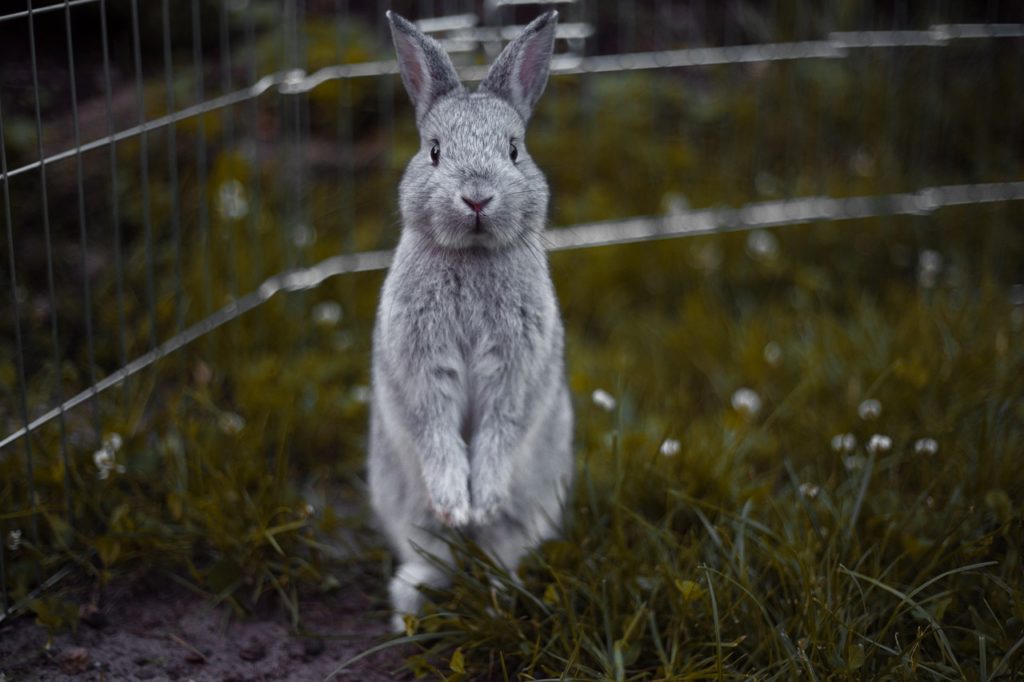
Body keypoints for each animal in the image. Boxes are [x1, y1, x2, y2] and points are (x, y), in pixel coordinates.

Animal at [370, 9, 577, 626]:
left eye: (513, 150)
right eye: (435, 151)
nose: (478, 199)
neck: (472, 255)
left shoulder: (514, 370)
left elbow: (500, 427)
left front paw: (479, 502)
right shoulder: (422, 367)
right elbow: (436, 427)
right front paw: (456, 504)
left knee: (500, 548)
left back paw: (498, 597)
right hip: (402, 503)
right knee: (433, 553)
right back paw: (412, 606)